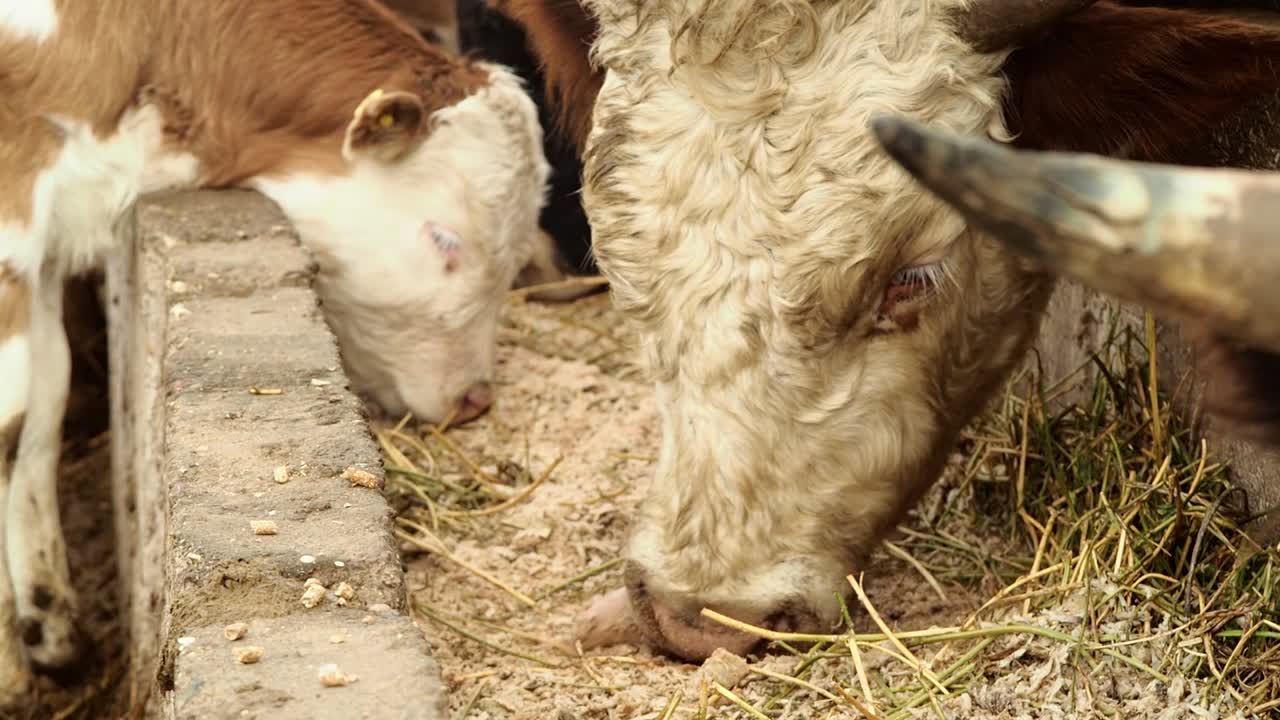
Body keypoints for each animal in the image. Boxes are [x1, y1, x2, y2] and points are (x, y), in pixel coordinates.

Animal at [0, 0, 549, 701]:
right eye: (445, 238)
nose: (475, 397)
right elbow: (10, 423)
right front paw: (12, 675)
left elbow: (43, 407)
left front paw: (53, 632)